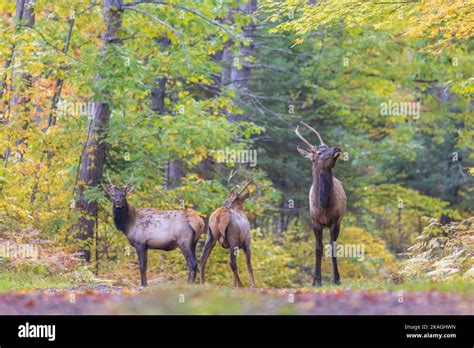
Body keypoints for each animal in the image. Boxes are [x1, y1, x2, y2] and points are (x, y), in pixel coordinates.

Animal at [294, 122, 346, 286]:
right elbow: (318, 248)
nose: (336, 148)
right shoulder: (315, 221)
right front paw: (316, 280)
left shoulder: (335, 221)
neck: (323, 204)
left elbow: (333, 247)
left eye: (327, 146)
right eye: (318, 153)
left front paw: (336, 279)